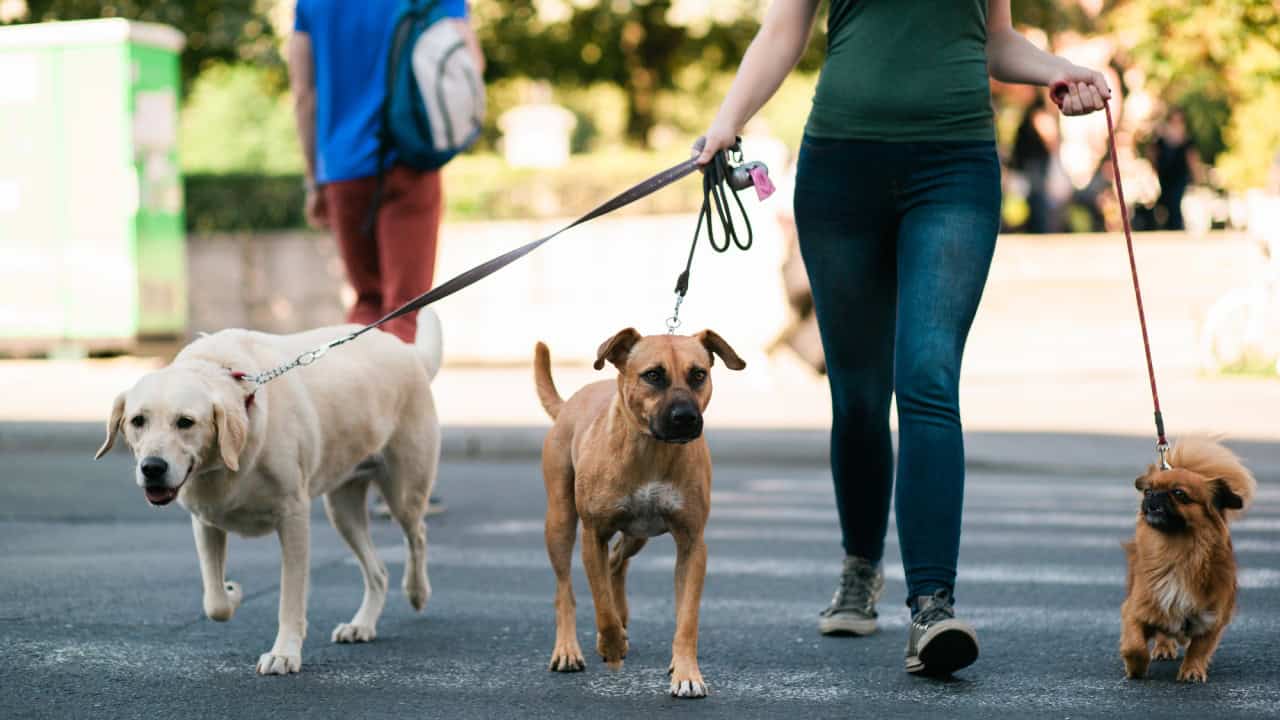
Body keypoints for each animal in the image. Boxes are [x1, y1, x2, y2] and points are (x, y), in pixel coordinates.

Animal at [94, 307, 445, 671]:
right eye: (138, 420)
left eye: (185, 422)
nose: (152, 468)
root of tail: (407, 351)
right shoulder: (205, 523)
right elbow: (214, 602)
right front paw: (232, 592)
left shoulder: (293, 519)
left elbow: (290, 597)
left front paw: (284, 653)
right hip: (343, 510)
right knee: (378, 572)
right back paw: (361, 625)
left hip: (404, 491)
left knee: (417, 535)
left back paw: (417, 592)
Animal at [532, 326, 747, 696]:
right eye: (653, 375)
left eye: (698, 375)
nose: (686, 418)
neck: (651, 450)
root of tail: (569, 404)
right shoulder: (593, 534)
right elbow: (600, 604)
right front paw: (612, 645)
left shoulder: (692, 543)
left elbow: (687, 618)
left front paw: (686, 672)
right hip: (560, 521)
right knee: (566, 590)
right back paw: (568, 649)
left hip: (638, 533)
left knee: (616, 562)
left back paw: (622, 616)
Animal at [1126, 438, 1254, 676]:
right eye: (1148, 491)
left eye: (1179, 493)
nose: (1152, 495)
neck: (1177, 551)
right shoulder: (1137, 608)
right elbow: (1134, 643)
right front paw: (1135, 668)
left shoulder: (1213, 617)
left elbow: (1200, 647)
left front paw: (1192, 671)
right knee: (1162, 633)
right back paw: (1164, 648)